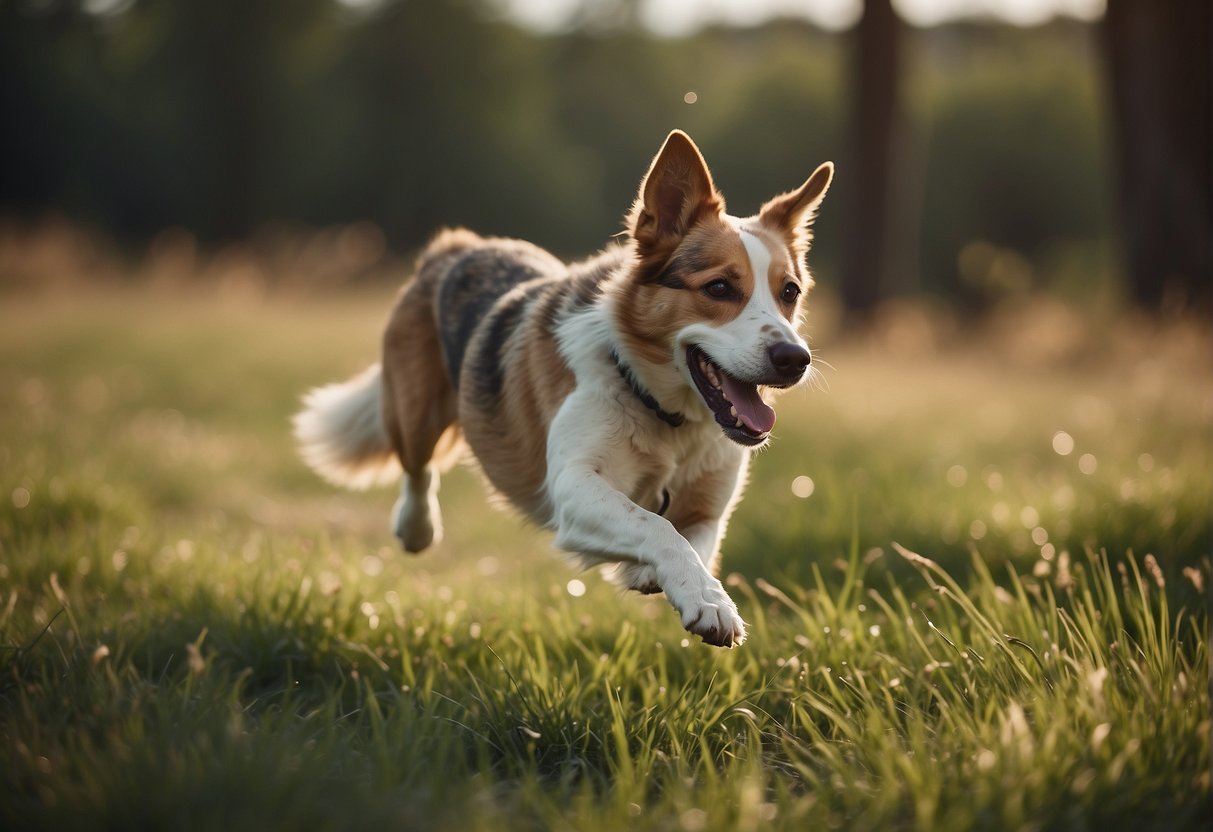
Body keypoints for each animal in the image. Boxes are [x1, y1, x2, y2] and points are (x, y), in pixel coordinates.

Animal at [293, 132, 834, 650]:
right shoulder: (572, 487)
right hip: (415, 412)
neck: (665, 415)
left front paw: (664, 579)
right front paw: (709, 603)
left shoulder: (709, 508)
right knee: (418, 469)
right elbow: (656, 526)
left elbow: (691, 540)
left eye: (789, 293)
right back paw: (416, 528)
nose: (795, 359)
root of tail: (455, 246)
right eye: (719, 288)